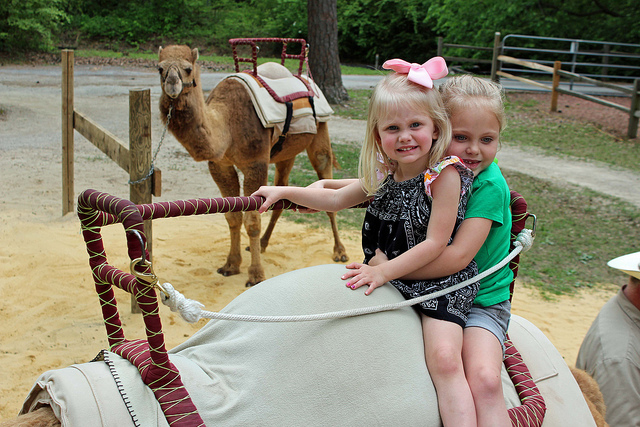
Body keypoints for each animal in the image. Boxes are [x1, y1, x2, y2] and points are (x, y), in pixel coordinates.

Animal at [158, 45, 348, 286]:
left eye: (188, 68)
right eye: (160, 68)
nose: (172, 84)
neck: (226, 125)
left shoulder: (255, 163)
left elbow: (252, 221)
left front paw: (256, 275)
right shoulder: (219, 165)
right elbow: (232, 216)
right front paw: (231, 265)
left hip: (320, 131)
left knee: (326, 180)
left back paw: (339, 251)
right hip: (286, 153)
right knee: (282, 191)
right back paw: (264, 244)